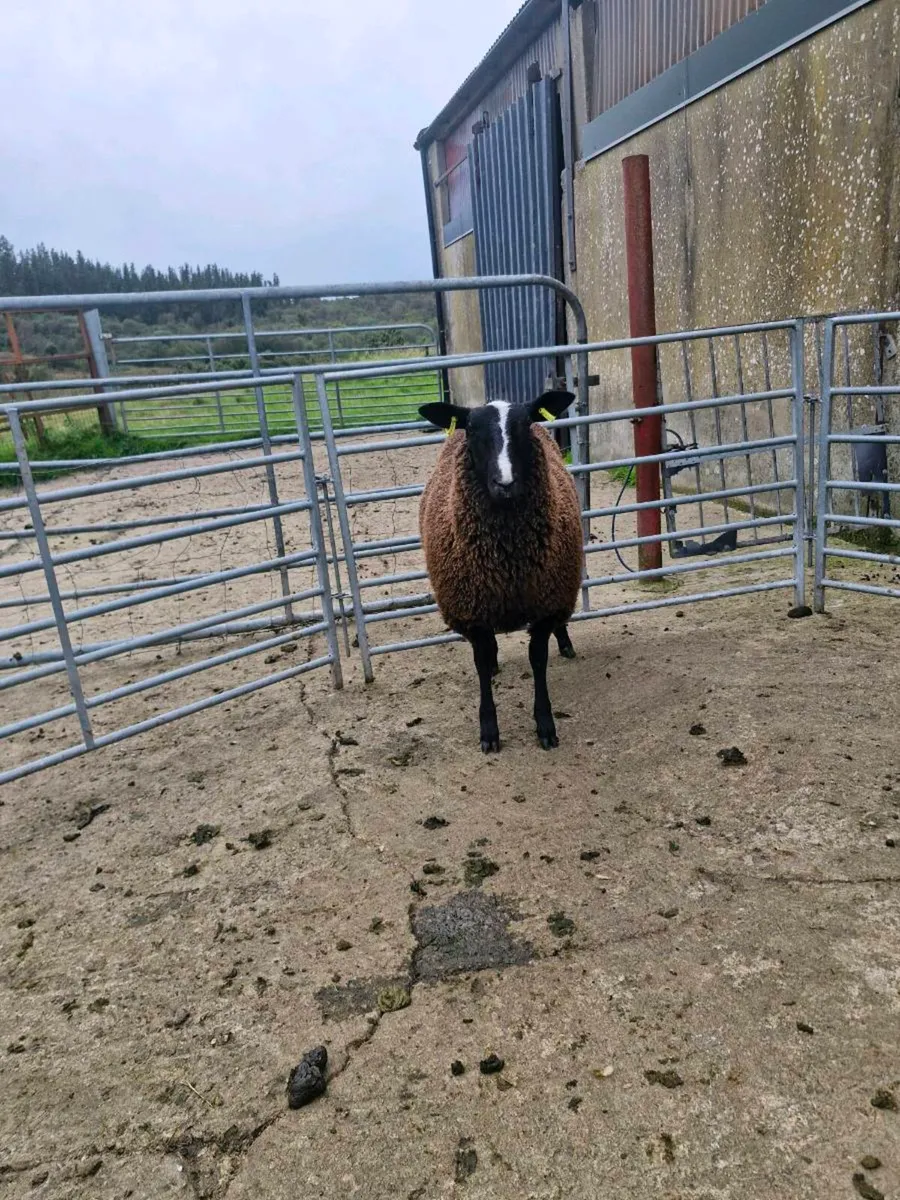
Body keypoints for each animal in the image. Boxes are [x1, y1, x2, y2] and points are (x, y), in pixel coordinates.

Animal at [418, 390, 583, 753]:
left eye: (526, 425)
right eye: (472, 429)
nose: (505, 483)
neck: (507, 563)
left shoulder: (546, 603)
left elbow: (538, 659)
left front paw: (545, 724)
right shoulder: (473, 611)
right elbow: (480, 663)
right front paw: (489, 730)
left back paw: (565, 642)